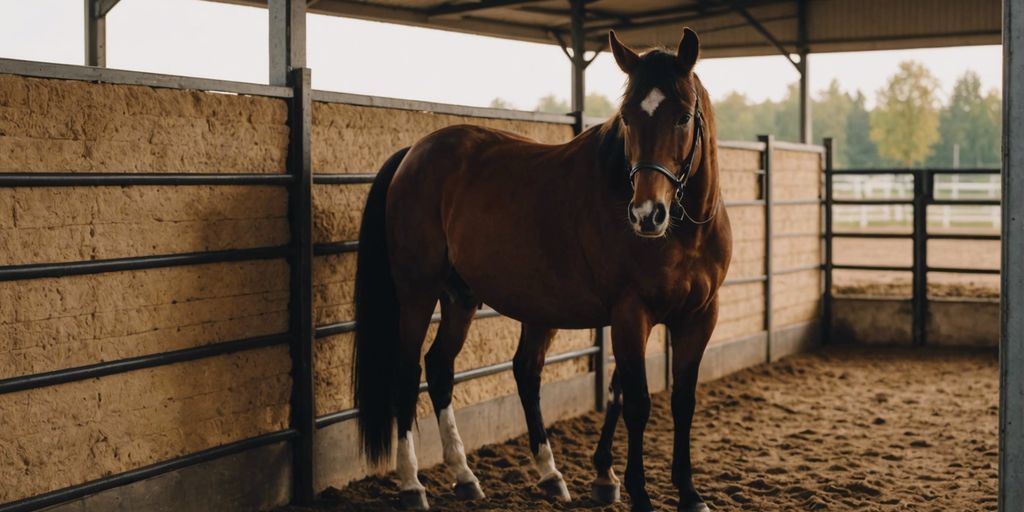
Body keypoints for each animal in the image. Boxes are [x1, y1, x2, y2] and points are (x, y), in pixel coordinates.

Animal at [352, 27, 731, 512]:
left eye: (683, 117)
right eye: (627, 118)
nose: (647, 214)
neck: (684, 235)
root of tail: (413, 153)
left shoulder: (698, 317)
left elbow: (678, 401)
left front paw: (683, 491)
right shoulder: (631, 315)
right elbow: (639, 403)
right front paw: (638, 492)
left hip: (462, 296)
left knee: (447, 368)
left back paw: (478, 475)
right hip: (417, 292)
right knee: (408, 373)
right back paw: (412, 484)